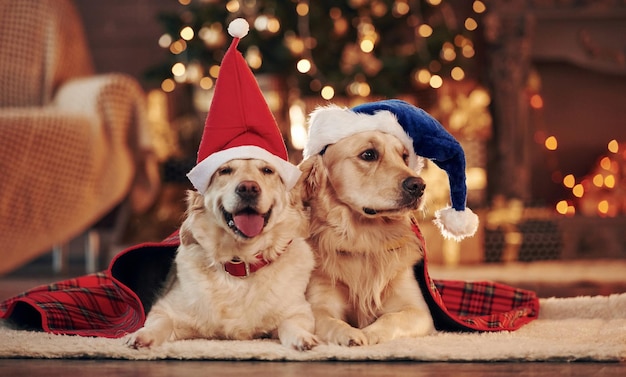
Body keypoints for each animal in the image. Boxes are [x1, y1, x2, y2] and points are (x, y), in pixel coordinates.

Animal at [127, 158, 316, 350]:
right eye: (225, 171)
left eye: (267, 170)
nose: (248, 188)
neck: (240, 263)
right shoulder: (164, 309)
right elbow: (161, 322)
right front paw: (143, 335)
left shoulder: (299, 310)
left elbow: (290, 324)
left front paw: (302, 338)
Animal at [298, 131, 434, 346]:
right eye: (369, 154)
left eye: (404, 156)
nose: (419, 185)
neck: (364, 240)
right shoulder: (319, 303)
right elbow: (331, 322)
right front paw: (349, 333)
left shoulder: (418, 310)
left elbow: (391, 317)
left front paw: (370, 333)